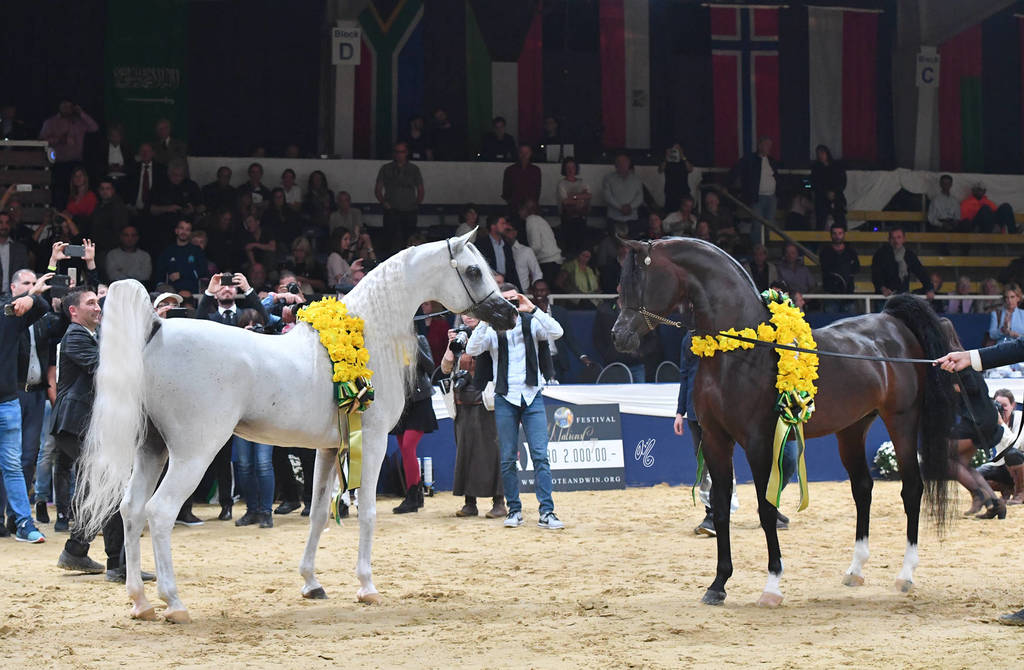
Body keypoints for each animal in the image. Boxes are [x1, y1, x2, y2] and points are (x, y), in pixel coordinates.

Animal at [74, 229, 517, 623]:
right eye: (473, 271)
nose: (510, 314)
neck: (365, 337)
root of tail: (158, 327)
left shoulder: (328, 447)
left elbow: (319, 512)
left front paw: (311, 583)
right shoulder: (372, 442)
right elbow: (369, 512)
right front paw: (367, 587)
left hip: (152, 448)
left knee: (131, 510)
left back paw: (140, 602)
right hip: (193, 453)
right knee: (160, 511)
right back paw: (174, 603)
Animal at [610, 237, 965, 607]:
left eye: (639, 280)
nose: (619, 336)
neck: (740, 351)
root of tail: (892, 322)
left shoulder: (758, 442)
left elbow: (766, 508)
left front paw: (772, 586)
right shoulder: (715, 439)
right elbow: (720, 509)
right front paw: (718, 584)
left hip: (902, 422)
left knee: (912, 489)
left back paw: (906, 574)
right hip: (852, 429)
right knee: (862, 489)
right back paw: (855, 570)